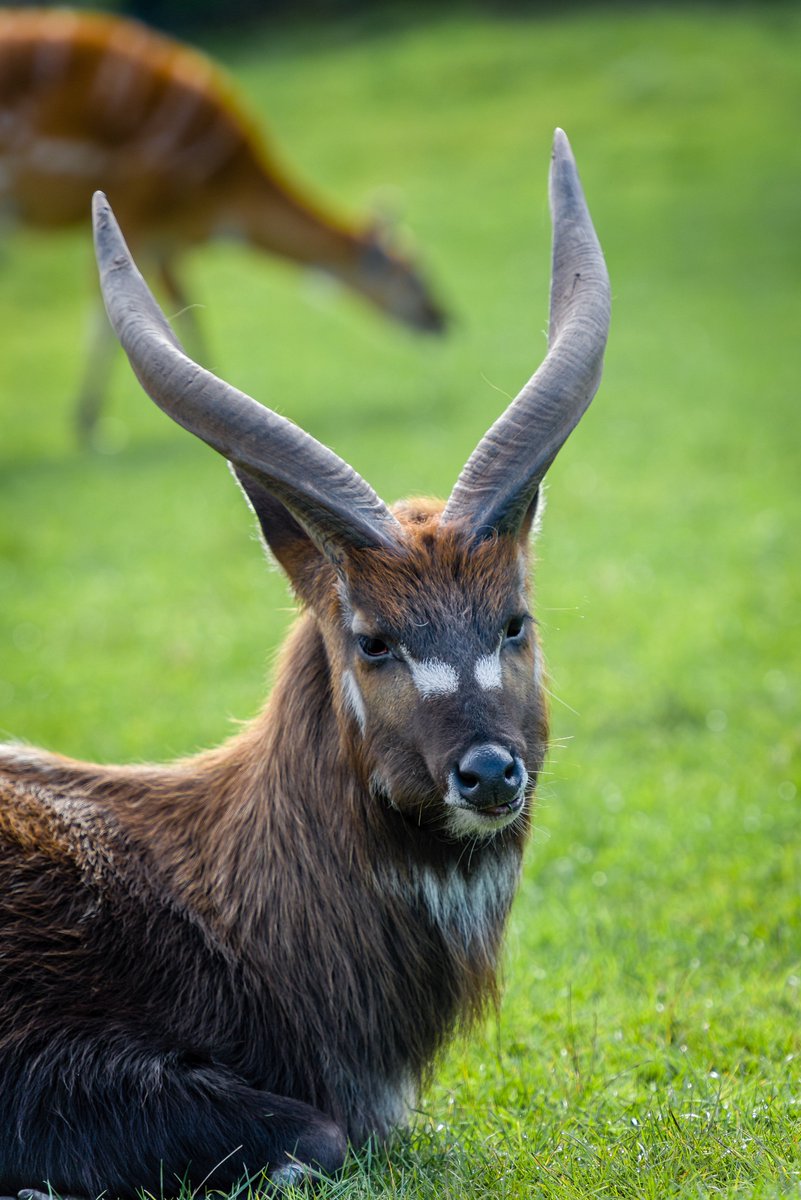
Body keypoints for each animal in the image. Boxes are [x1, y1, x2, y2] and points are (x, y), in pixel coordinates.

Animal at [0, 8, 445, 437]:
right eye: (413, 275)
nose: (443, 319)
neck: (224, 190)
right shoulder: (137, 201)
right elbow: (107, 309)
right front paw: (90, 425)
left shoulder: (167, 235)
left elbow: (183, 305)